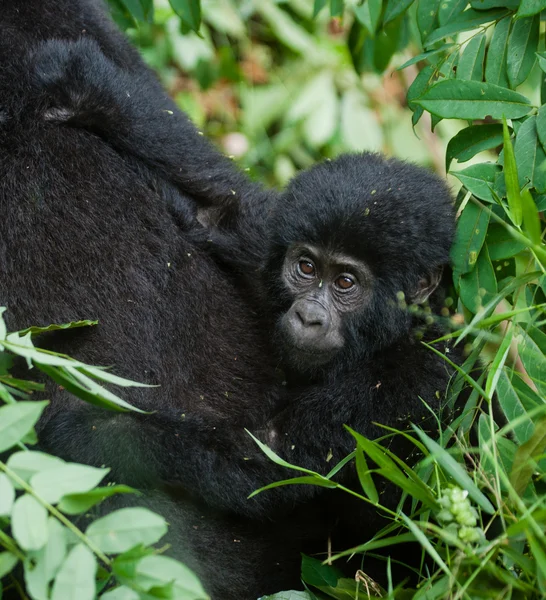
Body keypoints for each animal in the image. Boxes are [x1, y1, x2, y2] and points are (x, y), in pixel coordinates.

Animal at [34, 41, 460, 592]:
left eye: (346, 284)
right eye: (306, 267)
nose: (309, 317)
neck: (394, 335)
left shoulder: (405, 382)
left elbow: (268, 463)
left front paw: (89, 432)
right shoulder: (271, 245)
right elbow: (219, 209)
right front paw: (91, 91)